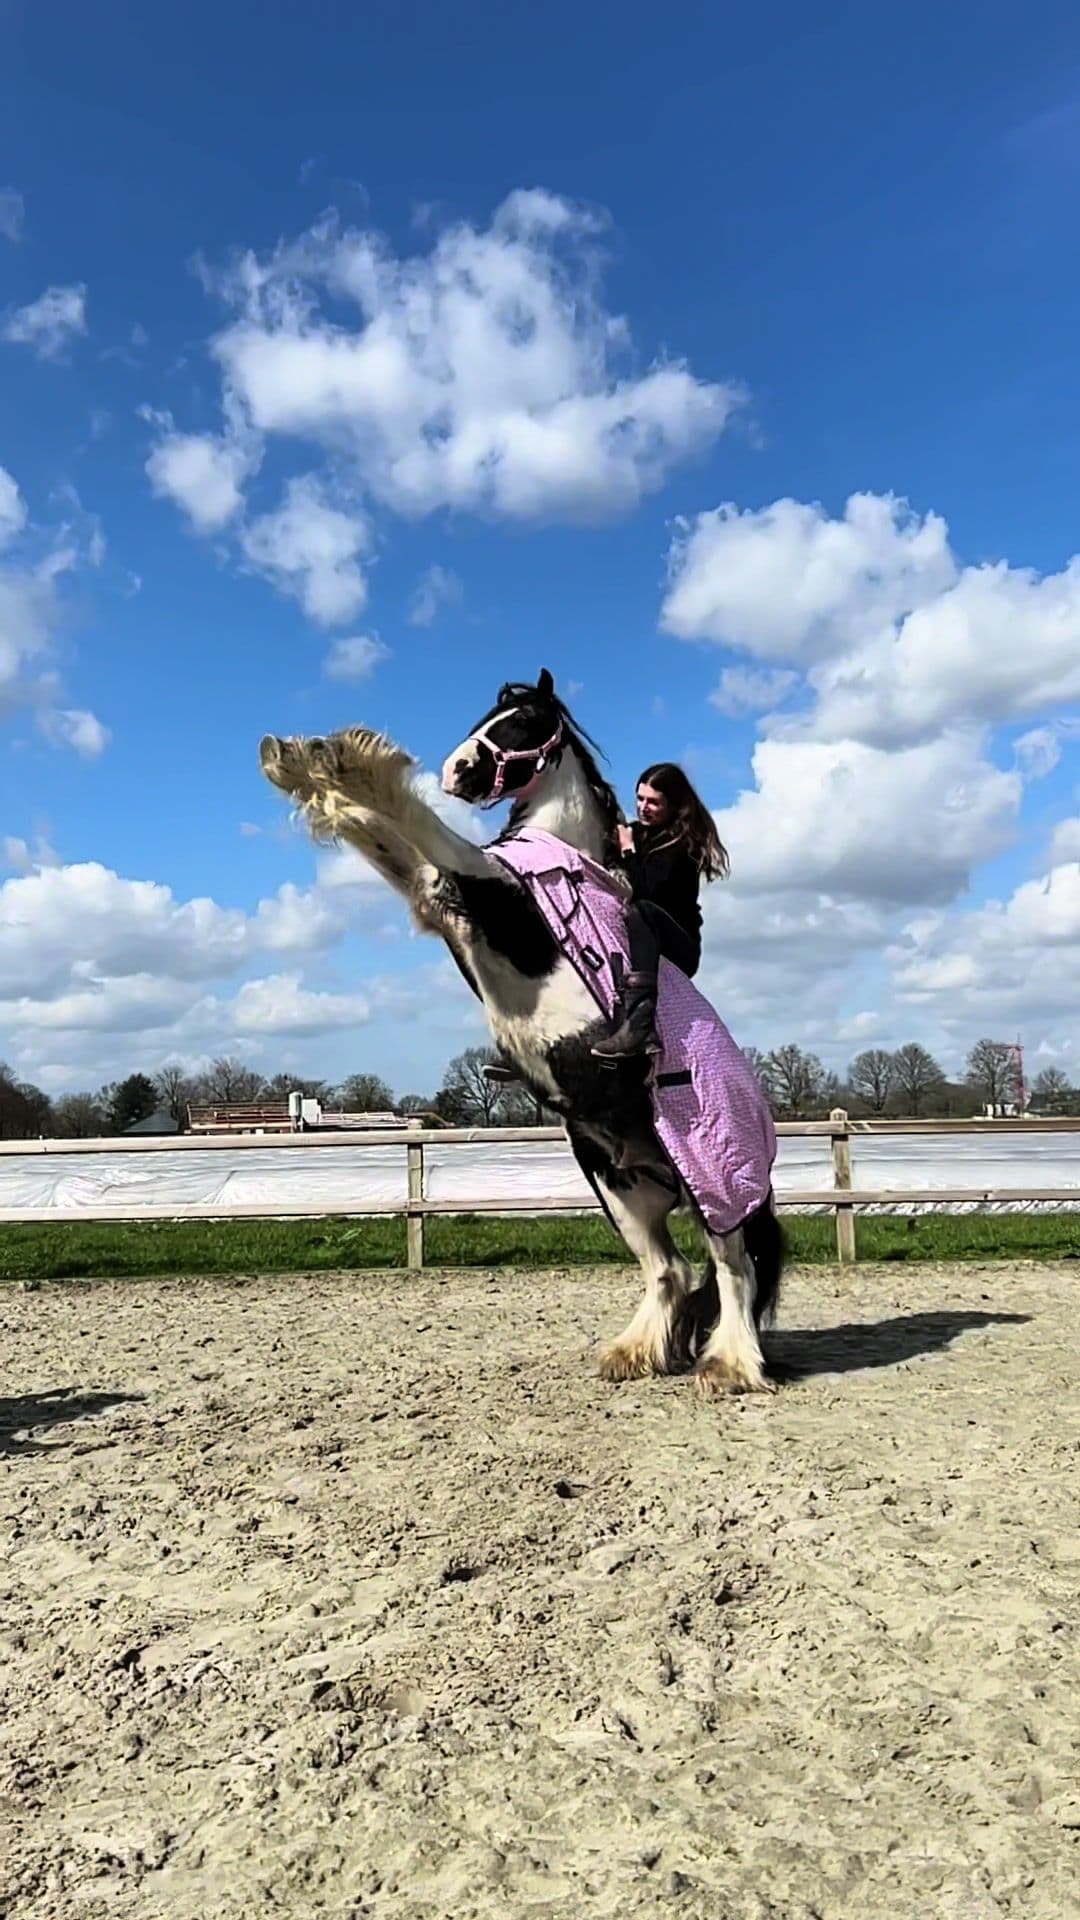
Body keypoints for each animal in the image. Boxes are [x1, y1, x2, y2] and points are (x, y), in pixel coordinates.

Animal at [259, 669, 783, 1396]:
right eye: (488, 711)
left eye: (524, 720)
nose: (456, 769)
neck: (559, 856)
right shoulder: (442, 900)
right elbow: (385, 840)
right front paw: (304, 769)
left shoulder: (488, 886)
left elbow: (417, 822)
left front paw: (343, 761)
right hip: (617, 1182)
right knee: (670, 1270)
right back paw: (636, 1355)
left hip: (714, 1189)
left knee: (734, 1266)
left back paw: (728, 1366)